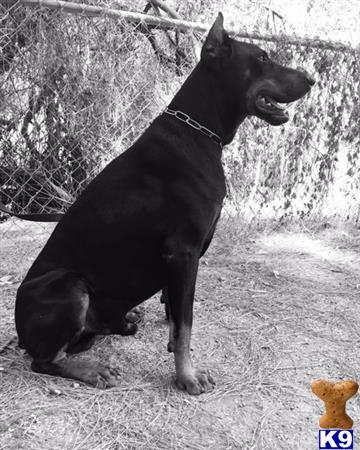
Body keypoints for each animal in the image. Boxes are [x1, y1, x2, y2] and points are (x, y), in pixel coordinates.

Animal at [14, 13, 312, 394]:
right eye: (262, 58)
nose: (311, 79)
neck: (200, 132)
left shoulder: (179, 258)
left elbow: (175, 313)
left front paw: (176, 354)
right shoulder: (183, 251)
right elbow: (185, 323)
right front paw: (187, 377)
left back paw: (125, 320)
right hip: (68, 285)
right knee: (44, 360)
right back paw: (93, 370)